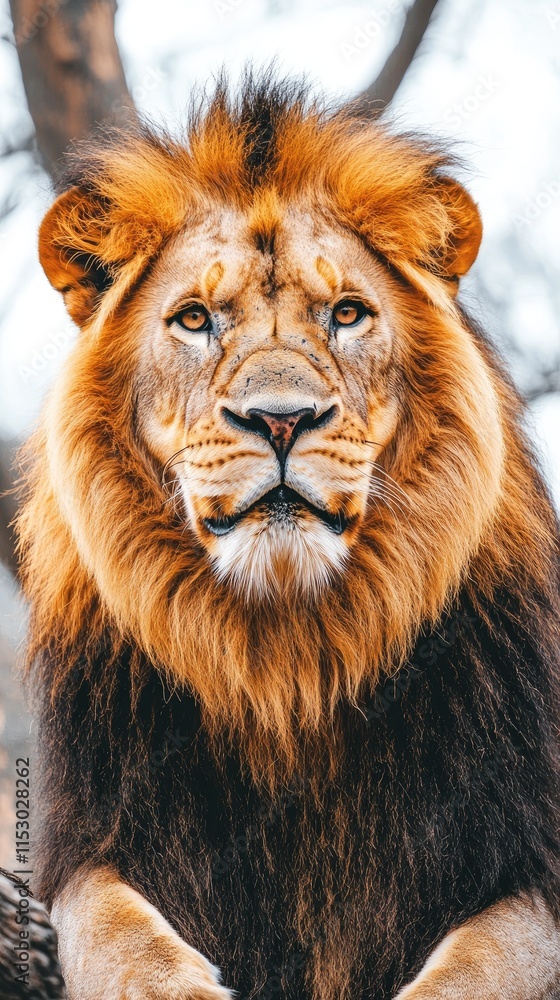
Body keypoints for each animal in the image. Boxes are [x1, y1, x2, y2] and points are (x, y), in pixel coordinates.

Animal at [16, 74, 560, 999]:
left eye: (346, 313)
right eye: (195, 319)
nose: (281, 419)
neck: (289, 665)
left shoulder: (529, 858)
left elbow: (479, 968)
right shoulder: (87, 846)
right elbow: (120, 938)